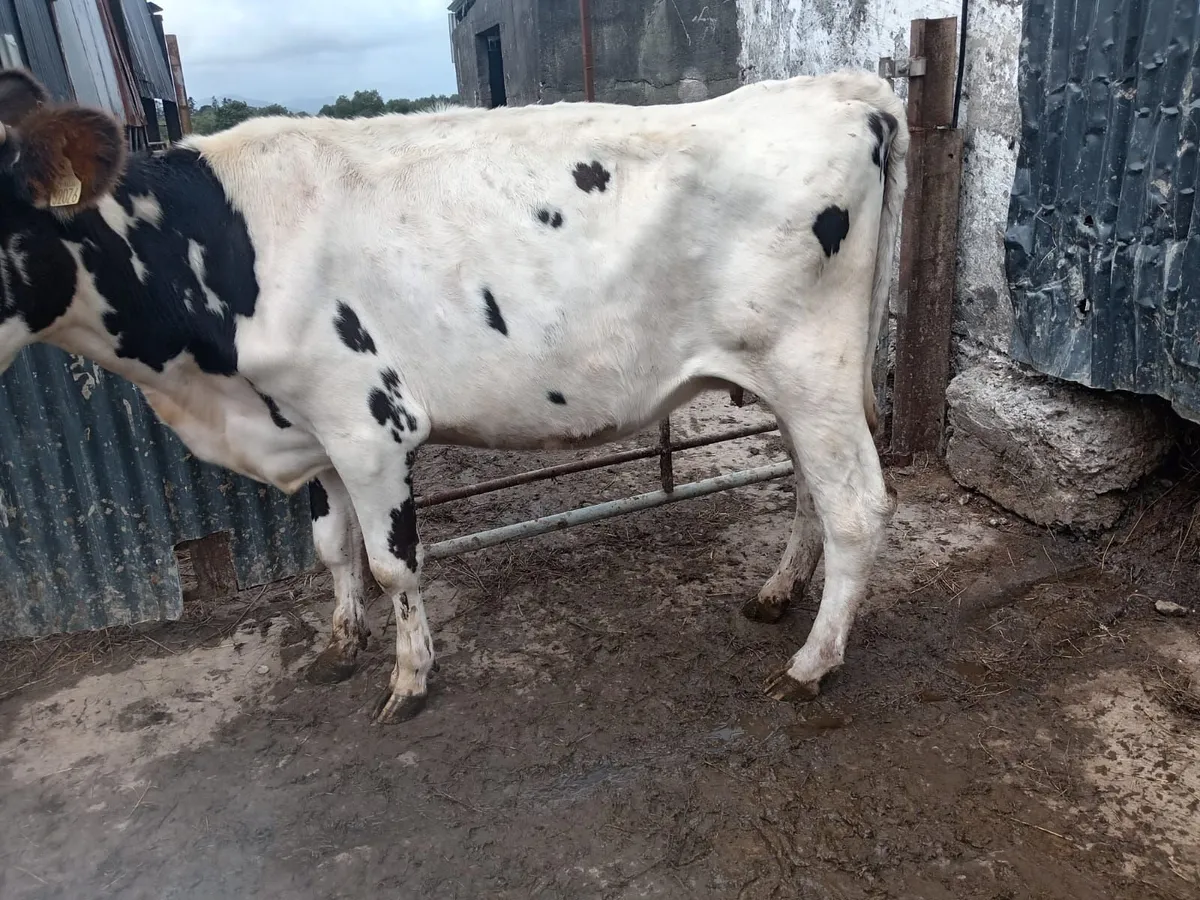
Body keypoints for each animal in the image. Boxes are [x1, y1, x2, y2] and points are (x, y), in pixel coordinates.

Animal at [0, 67, 907, 724]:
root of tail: (843, 90)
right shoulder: (312, 425)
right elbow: (332, 549)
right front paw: (340, 645)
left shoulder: (370, 423)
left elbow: (392, 563)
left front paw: (408, 680)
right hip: (789, 381)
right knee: (808, 489)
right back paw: (777, 594)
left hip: (811, 369)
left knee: (856, 507)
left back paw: (811, 665)